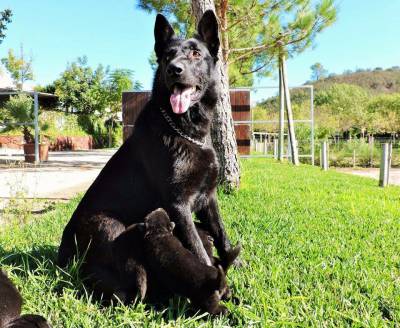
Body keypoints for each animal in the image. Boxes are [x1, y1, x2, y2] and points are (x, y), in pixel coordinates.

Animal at [57, 9, 239, 302]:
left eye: (195, 53)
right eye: (167, 56)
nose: (174, 69)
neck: (185, 131)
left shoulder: (209, 198)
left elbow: (221, 233)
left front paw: (238, 264)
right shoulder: (179, 205)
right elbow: (198, 247)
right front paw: (216, 282)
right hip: (109, 227)